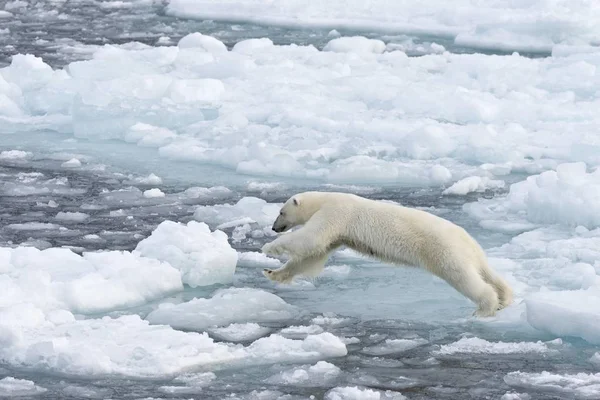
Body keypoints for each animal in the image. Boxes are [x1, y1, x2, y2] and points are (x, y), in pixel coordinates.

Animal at [260, 191, 512, 316]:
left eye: (281, 212)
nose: (274, 227)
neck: (325, 199)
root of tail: (469, 242)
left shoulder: (335, 212)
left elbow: (311, 238)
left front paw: (269, 248)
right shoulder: (338, 233)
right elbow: (312, 256)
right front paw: (272, 272)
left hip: (444, 251)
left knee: (464, 278)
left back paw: (484, 308)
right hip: (469, 254)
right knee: (488, 274)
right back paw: (505, 299)